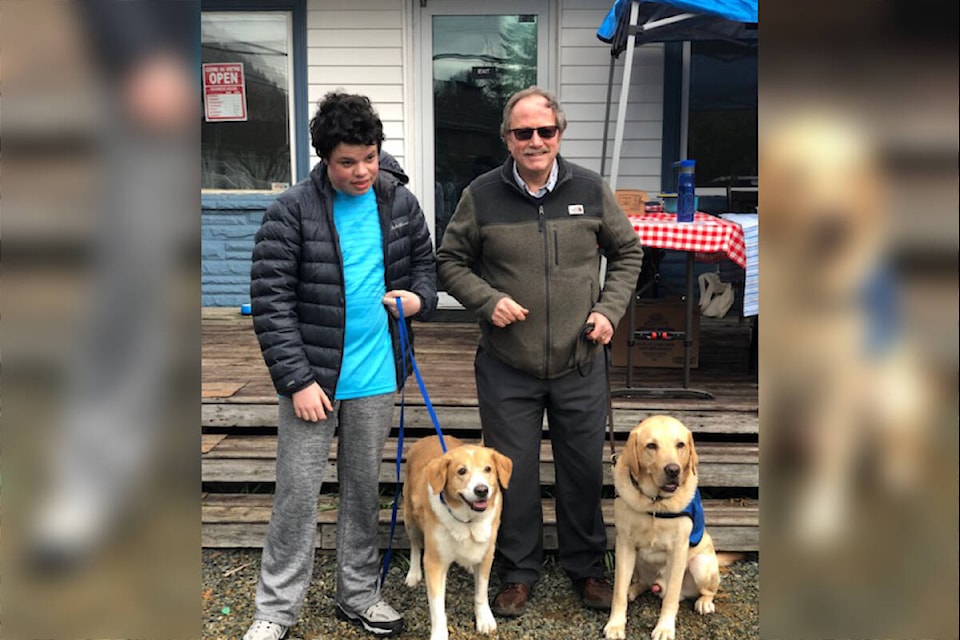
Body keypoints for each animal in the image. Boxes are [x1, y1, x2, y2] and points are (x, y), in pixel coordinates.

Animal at [404, 436, 512, 640]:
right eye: (461, 471)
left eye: (488, 469)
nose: (482, 490)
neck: (468, 520)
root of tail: (427, 438)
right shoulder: (434, 563)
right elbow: (437, 608)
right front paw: (439, 634)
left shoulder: (487, 555)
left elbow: (481, 593)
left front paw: (484, 620)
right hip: (410, 517)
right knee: (414, 545)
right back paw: (413, 574)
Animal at [604, 416, 716, 640]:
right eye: (651, 446)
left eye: (680, 445)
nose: (673, 470)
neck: (654, 503)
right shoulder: (624, 545)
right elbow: (618, 593)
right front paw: (615, 625)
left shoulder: (678, 550)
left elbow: (671, 598)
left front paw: (664, 628)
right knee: (641, 583)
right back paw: (633, 589)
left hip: (701, 565)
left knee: (708, 590)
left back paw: (704, 602)